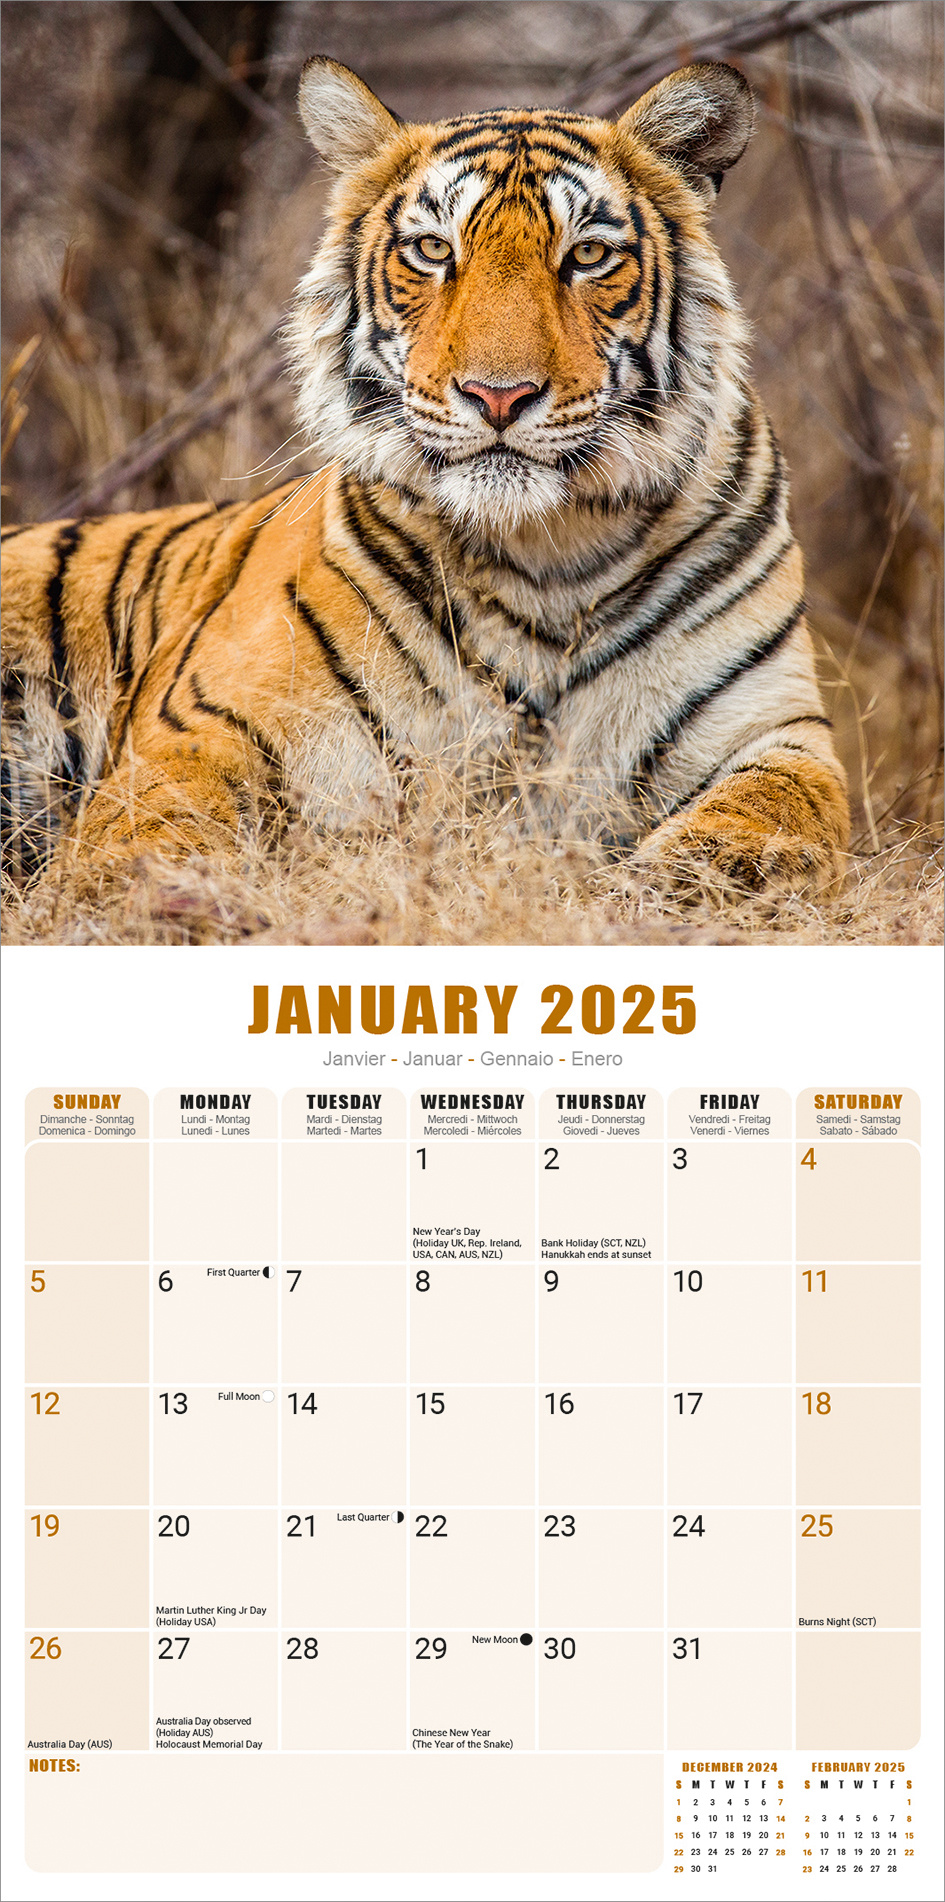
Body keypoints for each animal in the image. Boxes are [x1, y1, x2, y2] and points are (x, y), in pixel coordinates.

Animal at [1, 57, 848, 893]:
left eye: (587, 255)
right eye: (434, 251)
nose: (497, 395)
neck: (548, 556)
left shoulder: (776, 726)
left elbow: (783, 809)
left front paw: (704, 869)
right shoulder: (203, 724)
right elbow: (152, 832)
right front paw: (149, 891)